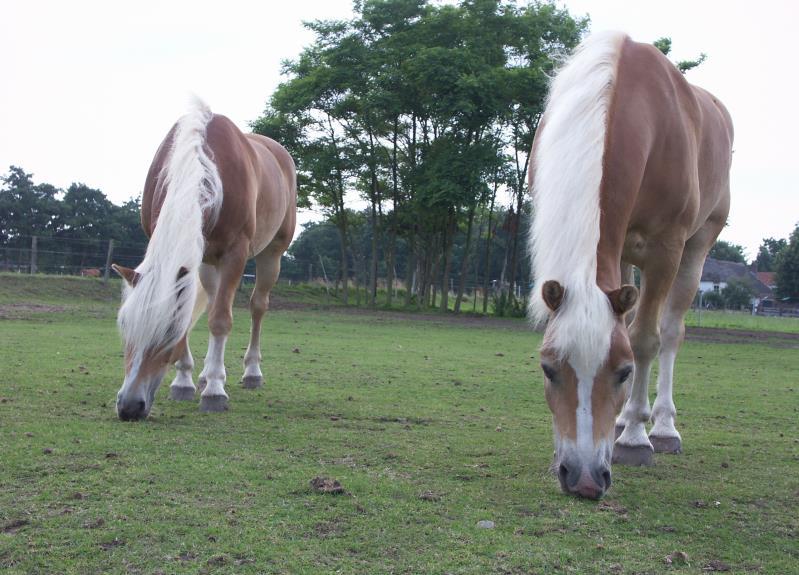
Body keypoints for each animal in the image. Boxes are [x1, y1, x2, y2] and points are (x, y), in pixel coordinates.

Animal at [111, 99, 296, 420]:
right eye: (124, 325)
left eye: (167, 332)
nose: (129, 407)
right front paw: (184, 381)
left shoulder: (235, 253)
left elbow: (220, 320)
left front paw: (214, 391)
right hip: (208, 262)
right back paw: (203, 375)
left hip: (272, 254)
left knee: (258, 306)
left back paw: (250, 373)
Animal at [528, 31, 736, 500]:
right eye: (548, 369)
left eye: (623, 373)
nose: (584, 477)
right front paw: (624, 426)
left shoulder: (665, 249)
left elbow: (644, 339)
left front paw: (636, 441)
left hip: (696, 249)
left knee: (670, 332)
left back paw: (660, 428)